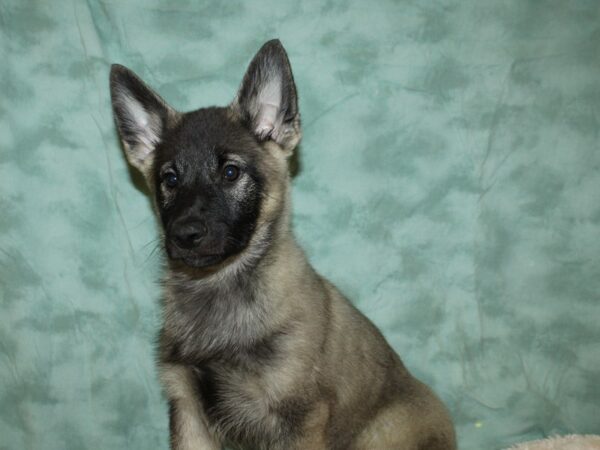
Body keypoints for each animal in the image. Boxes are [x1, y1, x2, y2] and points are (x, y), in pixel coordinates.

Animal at [109, 39, 454, 450]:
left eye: (231, 172)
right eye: (171, 179)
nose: (184, 234)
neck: (219, 289)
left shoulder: (298, 417)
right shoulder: (188, 411)